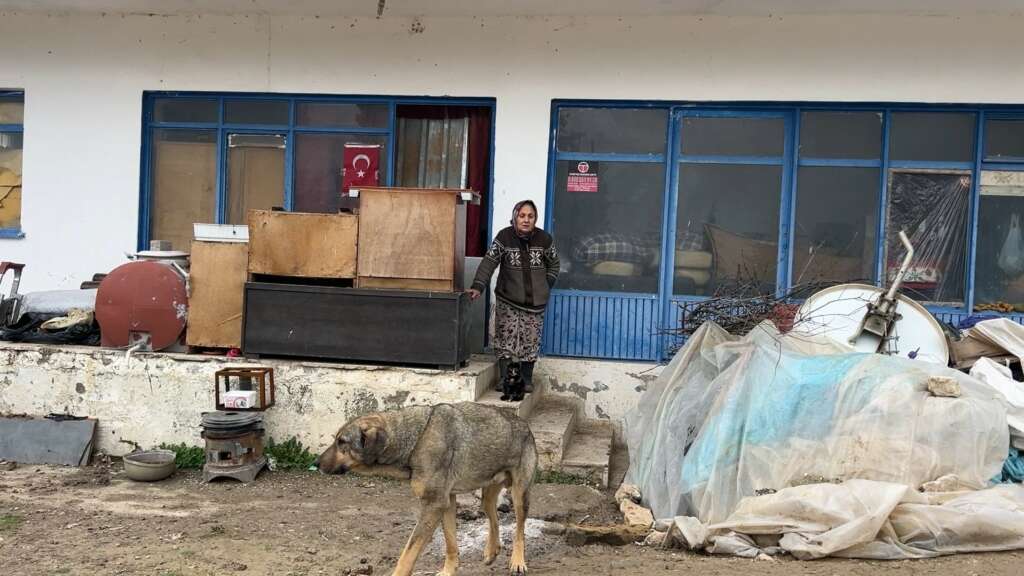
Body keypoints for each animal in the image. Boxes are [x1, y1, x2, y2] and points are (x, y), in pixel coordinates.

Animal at [315, 399, 540, 573]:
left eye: (342, 442)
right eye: (336, 440)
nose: (316, 464)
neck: (416, 440)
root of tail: (525, 425)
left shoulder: (433, 505)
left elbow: (407, 555)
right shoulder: (447, 502)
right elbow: (451, 544)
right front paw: (448, 571)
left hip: (520, 495)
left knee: (519, 530)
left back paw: (517, 561)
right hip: (487, 497)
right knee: (494, 519)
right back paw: (492, 550)